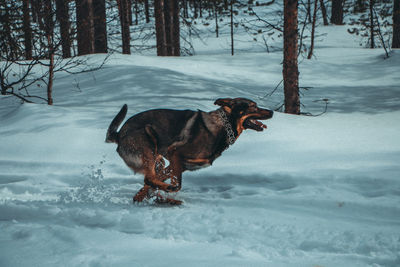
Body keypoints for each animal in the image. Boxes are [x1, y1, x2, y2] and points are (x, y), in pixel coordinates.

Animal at [105, 98, 276, 205]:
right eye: (253, 106)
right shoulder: (174, 154)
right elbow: (176, 184)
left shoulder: (178, 165)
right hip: (148, 144)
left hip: (158, 159)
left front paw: (147, 196)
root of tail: (119, 134)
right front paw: (166, 194)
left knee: (150, 179)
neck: (222, 126)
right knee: (149, 178)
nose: (272, 112)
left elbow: (153, 185)